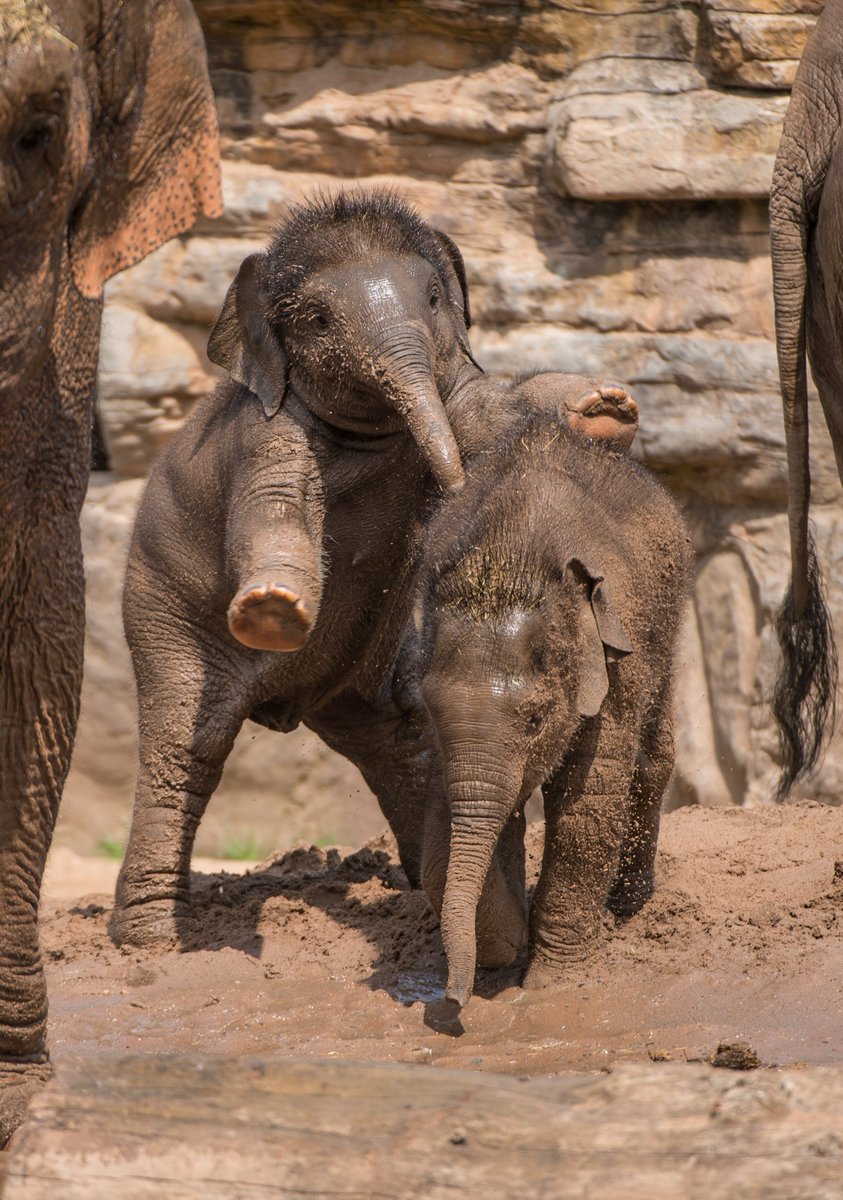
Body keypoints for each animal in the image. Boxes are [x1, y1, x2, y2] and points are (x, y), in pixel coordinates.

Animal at [111, 187, 642, 949]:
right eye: (318, 320)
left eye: (434, 298)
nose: (455, 494)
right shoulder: (268, 437)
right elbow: (272, 513)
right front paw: (272, 609)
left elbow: (485, 406)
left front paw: (604, 408)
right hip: (157, 607)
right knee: (185, 746)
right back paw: (152, 944)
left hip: (366, 672)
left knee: (398, 745)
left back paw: (429, 902)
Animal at [399, 410, 691, 1009]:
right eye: (431, 714)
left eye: (536, 720)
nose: (453, 1001)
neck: (508, 560)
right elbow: (450, 802)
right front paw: (509, 942)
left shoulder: (612, 662)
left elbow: (590, 795)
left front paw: (554, 982)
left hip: (665, 617)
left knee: (652, 754)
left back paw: (627, 909)